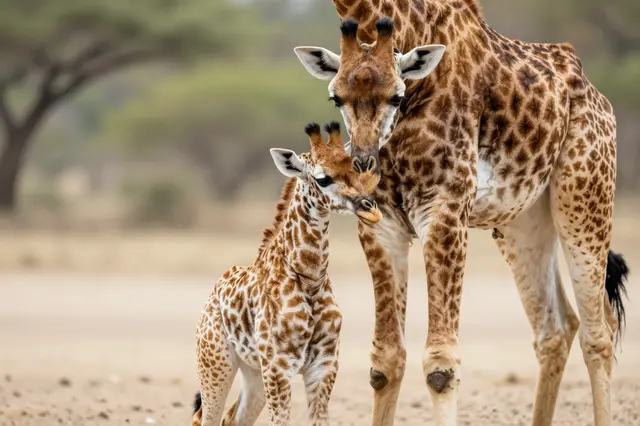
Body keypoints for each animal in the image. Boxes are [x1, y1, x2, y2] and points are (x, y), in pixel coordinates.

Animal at [191, 122, 381, 426]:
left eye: (355, 168)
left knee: (232, 418)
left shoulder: (324, 364)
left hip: (253, 372)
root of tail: (213, 294)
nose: (370, 209)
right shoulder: (278, 366)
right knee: (206, 418)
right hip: (216, 362)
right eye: (323, 179)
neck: (310, 279)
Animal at [292, 1, 630, 425]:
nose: (365, 162)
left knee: (597, 332)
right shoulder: (380, 223)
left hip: (585, 198)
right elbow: (384, 361)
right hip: (523, 221)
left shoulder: (446, 209)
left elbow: (440, 365)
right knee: (555, 328)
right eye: (335, 98)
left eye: (397, 97)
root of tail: (595, 92)